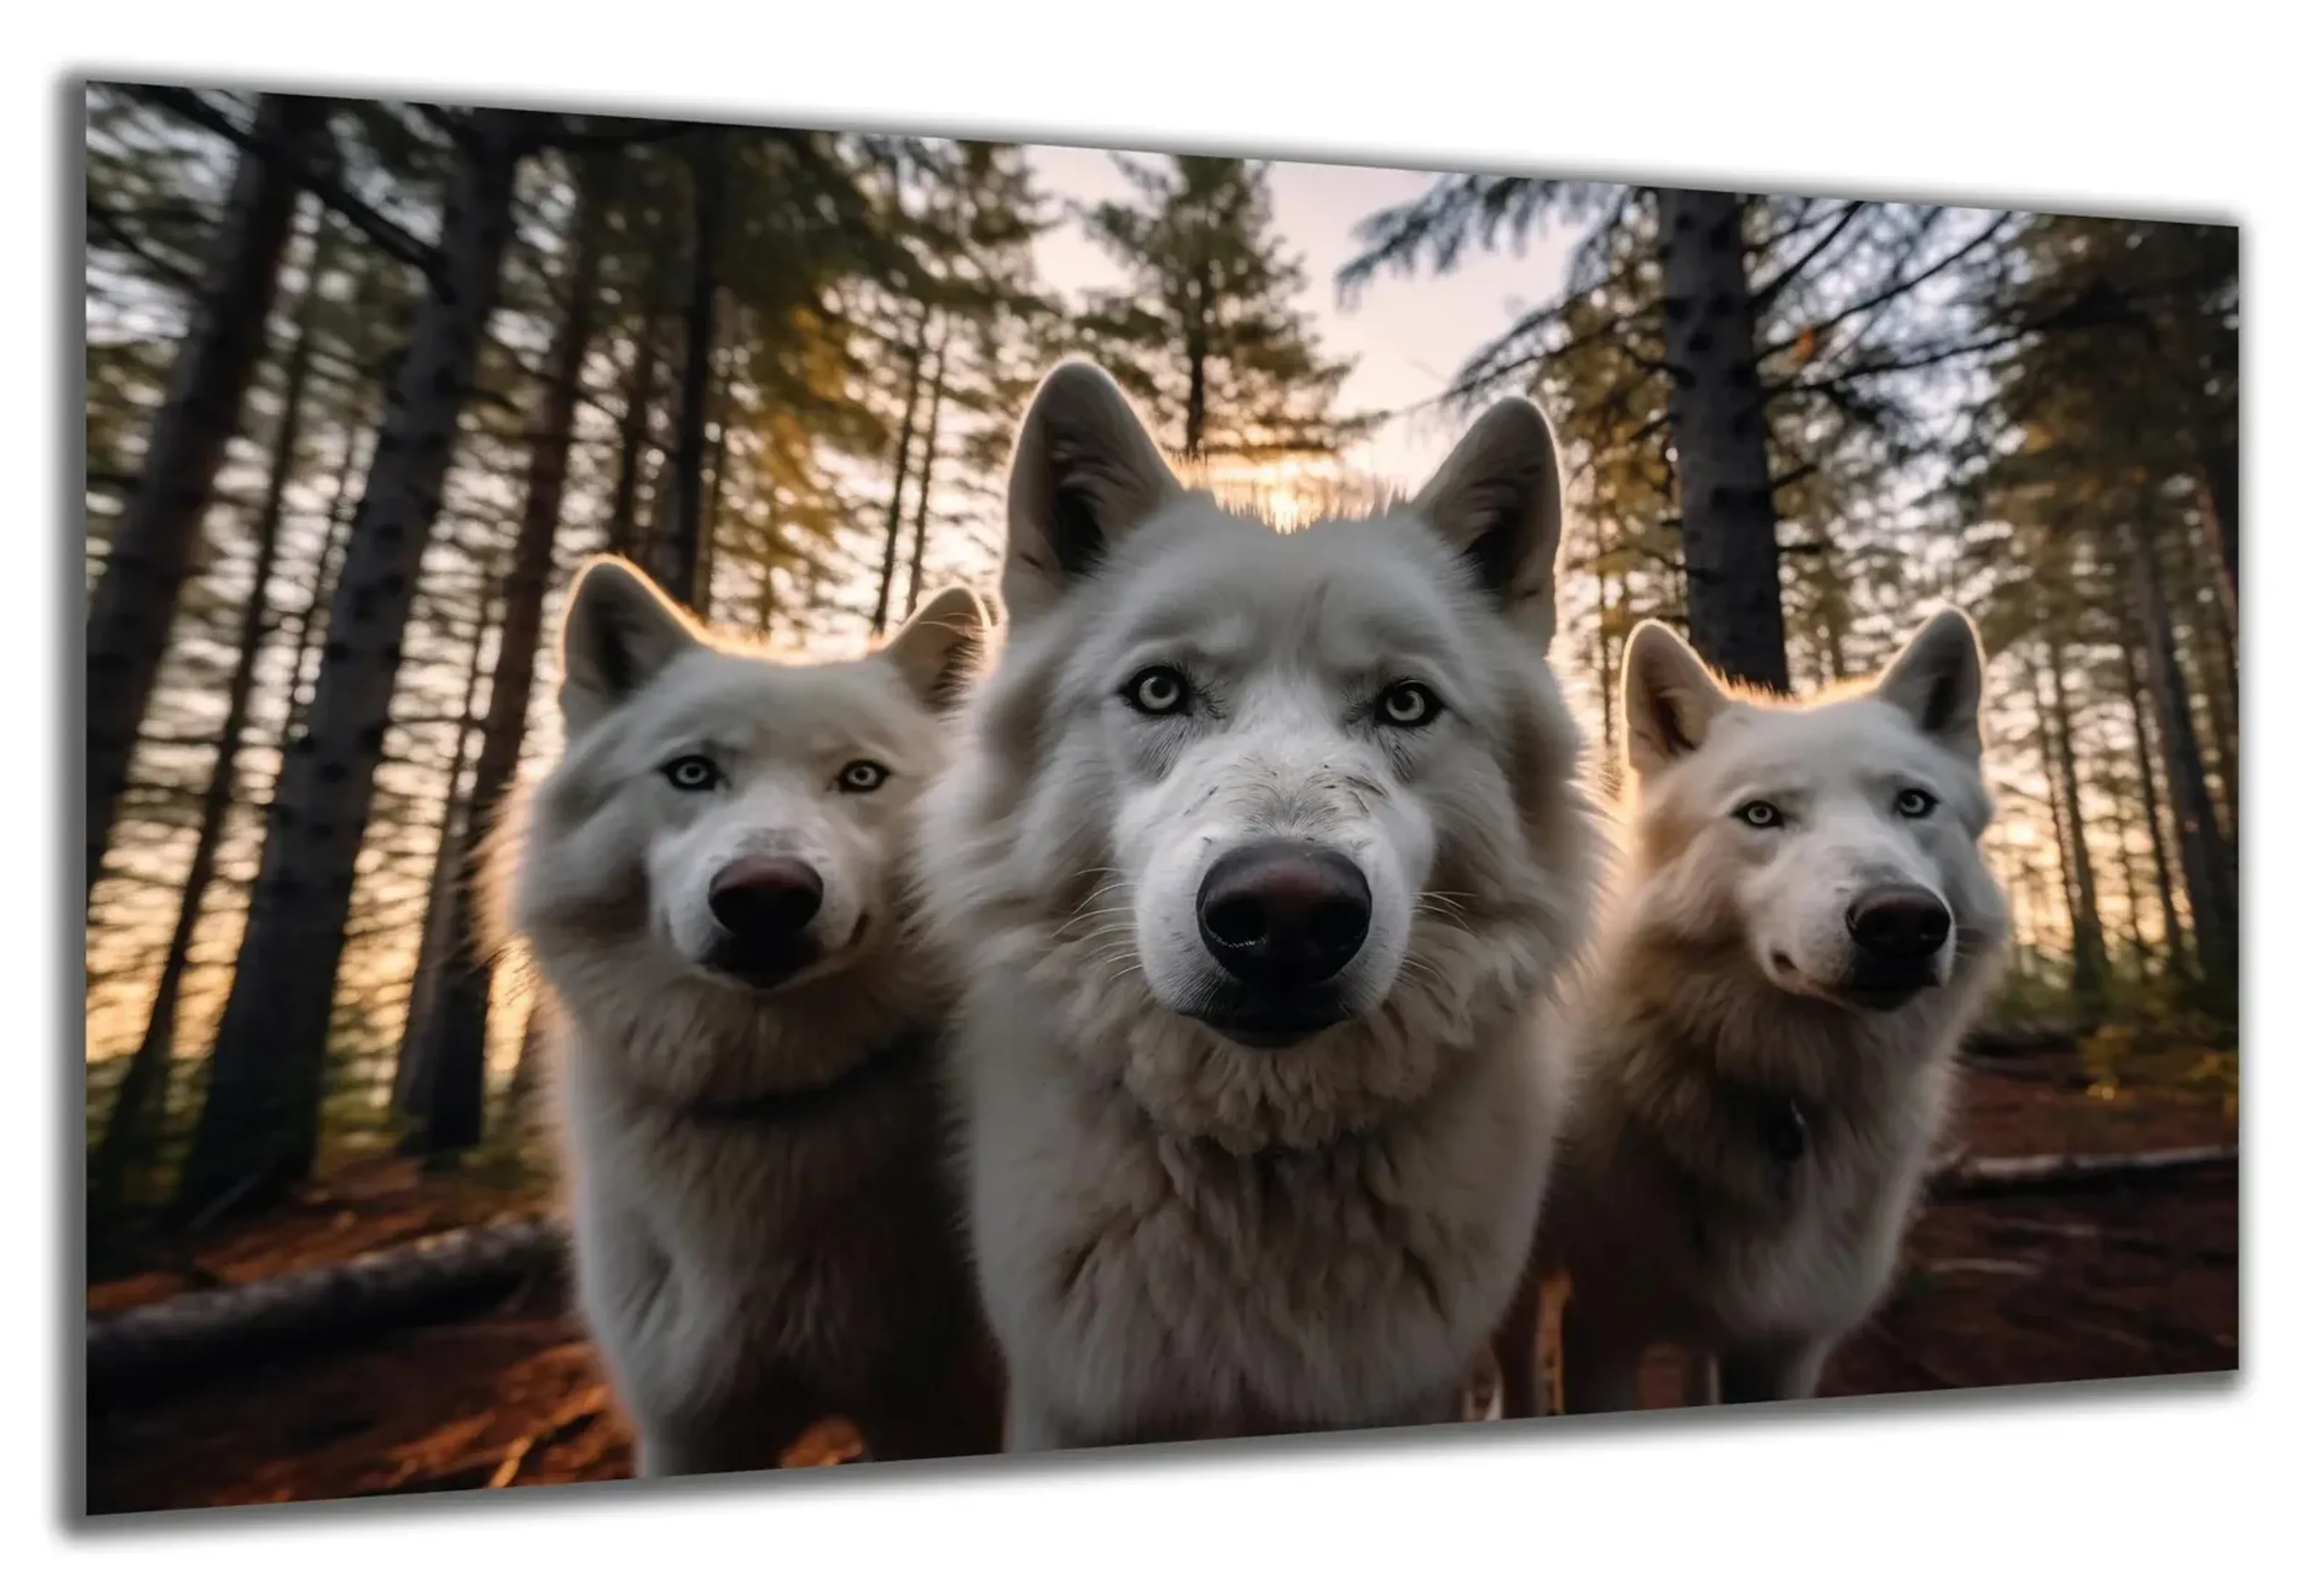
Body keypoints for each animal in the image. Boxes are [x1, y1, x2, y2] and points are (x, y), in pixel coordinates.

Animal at [508, 556, 1002, 1476]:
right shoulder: (690, 1429)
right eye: (693, 772)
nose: (764, 895)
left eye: (861, 777)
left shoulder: (938, 1409)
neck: (767, 1104)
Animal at [1490, 609, 2010, 1417]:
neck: (1786, 1099)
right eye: (1761, 815)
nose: (1903, 921)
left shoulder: (1785, 1346)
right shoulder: (1602, 1328)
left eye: (1913, 803)